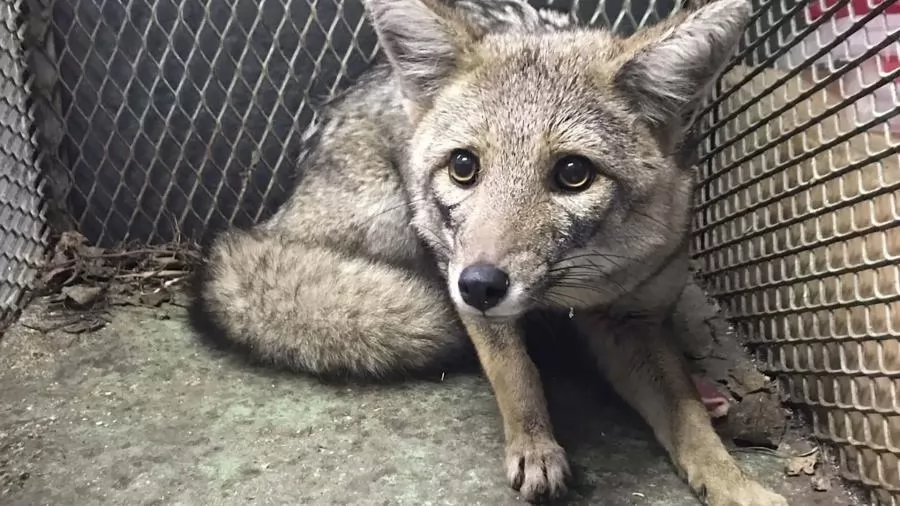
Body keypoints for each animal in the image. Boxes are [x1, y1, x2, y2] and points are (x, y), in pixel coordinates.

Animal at [190, 0, 788, 504]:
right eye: (464, 166)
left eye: (573, 174)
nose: (477, 284)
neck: (575, 289)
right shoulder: (462, 275)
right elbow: (515, 373)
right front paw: (535, 447)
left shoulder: (634, 317)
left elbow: (688, 420)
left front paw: (737, 483)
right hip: (395, 223)